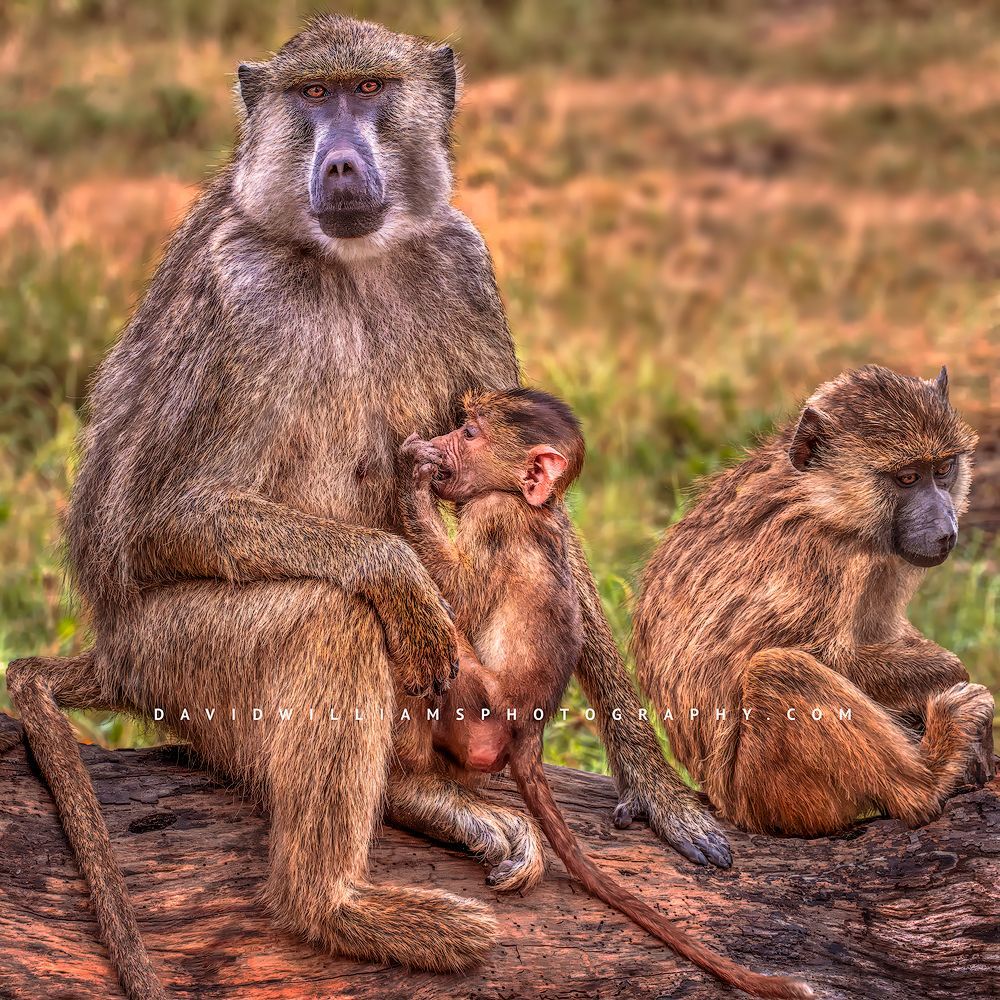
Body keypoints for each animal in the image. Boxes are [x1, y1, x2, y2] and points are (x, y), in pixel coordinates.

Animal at [3, 15, 727, 1000]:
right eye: (314, 95)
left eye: (369, 89)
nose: (342, 162)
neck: (349, 260)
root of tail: (111, 656)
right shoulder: (241, 296)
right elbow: (158, 518)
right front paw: (401, 574)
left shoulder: (464, 263)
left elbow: (549, 524)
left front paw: (655, 787)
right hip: (173, 664)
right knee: (331, 617)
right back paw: (339, 905)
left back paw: (422, 801)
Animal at [391, 387, 814, 1000]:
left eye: (468, 434)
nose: (439, 441)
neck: (527, 503)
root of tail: (526, 735)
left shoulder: (492, 520)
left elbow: (452, 593)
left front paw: (411, 476)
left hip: (475, 713)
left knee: (441, 654)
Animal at [632, 365, 996, 838]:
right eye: (908, 478)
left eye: (944, 468)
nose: (945, 531)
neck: (826, 502)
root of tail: (723, 802)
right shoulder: (822, 560)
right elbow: (829, 657)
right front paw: (951, 673)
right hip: (768, 793)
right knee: (779, 670)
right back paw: (930, 777)